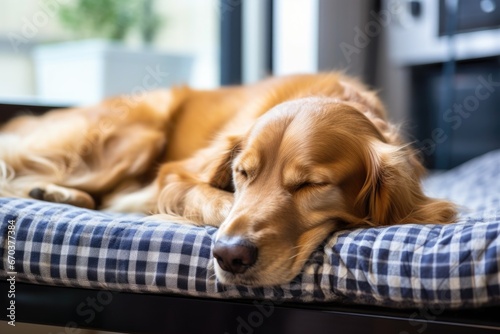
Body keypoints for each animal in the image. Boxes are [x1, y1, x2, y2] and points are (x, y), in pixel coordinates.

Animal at [0, 74, 456, 286]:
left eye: (310, 185)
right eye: (242, 174)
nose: (230, 257)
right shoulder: (174, 175)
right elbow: (212, 199)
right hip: (136, 135)